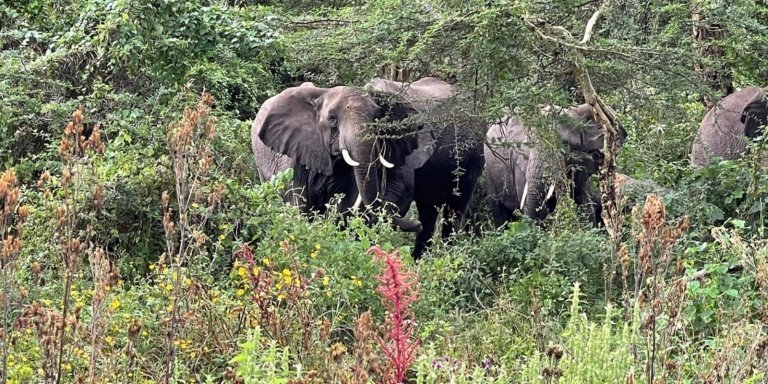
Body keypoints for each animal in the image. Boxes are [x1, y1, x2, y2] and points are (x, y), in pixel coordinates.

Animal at [249, 76, 484, 260]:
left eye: (377, 121)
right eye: (332, 119)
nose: (413, 224)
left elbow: (396, 191)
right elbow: (299, 202)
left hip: (474, 158)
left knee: (454, 210)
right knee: (429, 209)